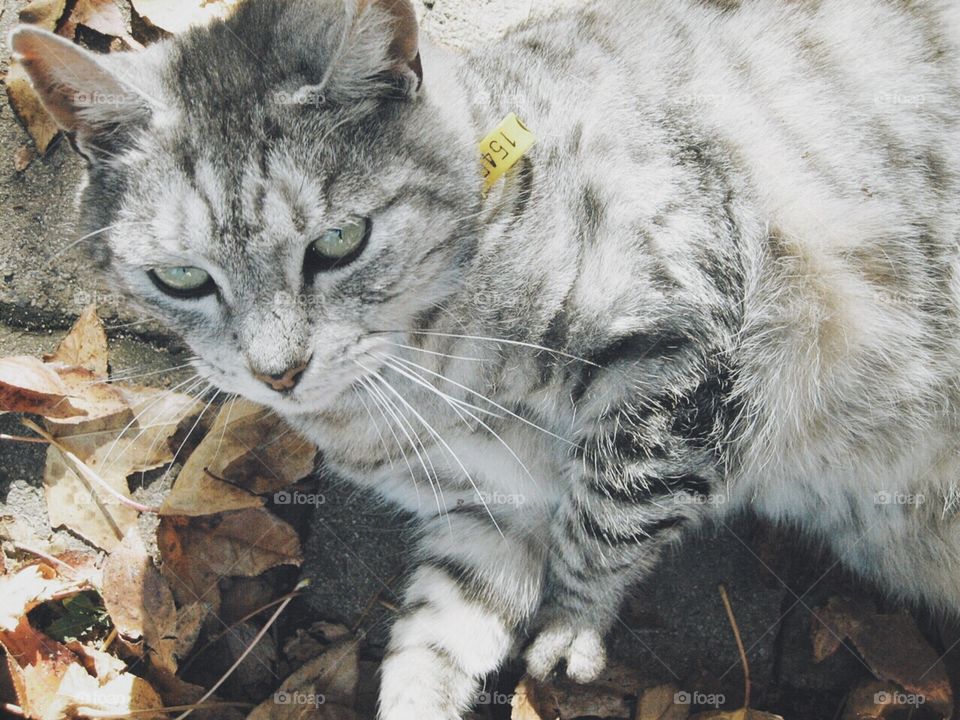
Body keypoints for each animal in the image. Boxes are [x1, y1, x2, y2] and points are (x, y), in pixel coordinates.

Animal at [11, 0, 960, 716]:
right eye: (180, 276)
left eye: (340, 242)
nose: (278, 373)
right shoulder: (486, 512)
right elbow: (433, 641)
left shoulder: (693, 333)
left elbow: (609, 511)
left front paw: (570, 635)